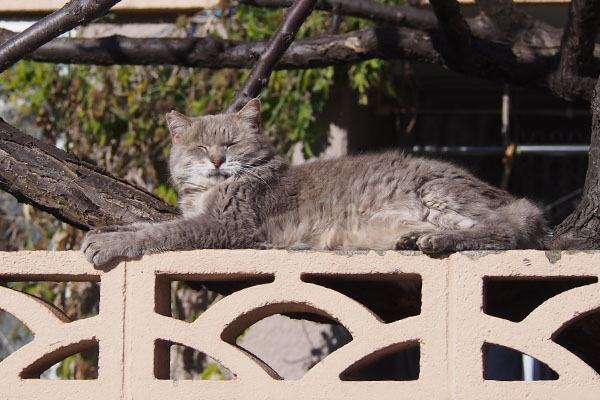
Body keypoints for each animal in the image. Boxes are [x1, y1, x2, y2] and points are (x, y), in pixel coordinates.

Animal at [83, 98, 548, 264]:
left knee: (505, 231)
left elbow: (162, 232)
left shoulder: (225, 224)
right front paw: (108, 231)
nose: (217, 159)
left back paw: (437, 240)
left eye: (231, 143)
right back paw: (412, 238)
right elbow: (151, 223)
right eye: (200, 147)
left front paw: (111, 243)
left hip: (439, 193)